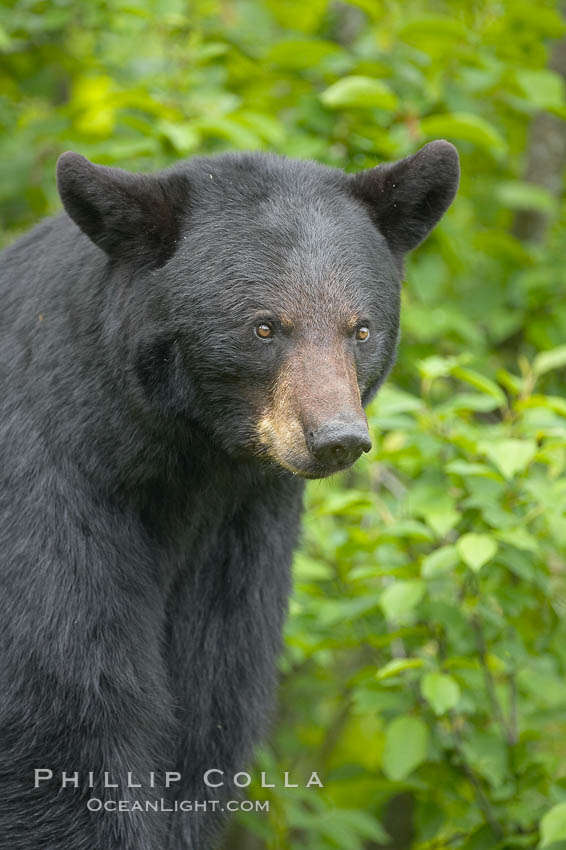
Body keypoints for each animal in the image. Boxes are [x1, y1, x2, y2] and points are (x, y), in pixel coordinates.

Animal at [0, 142, 460, 844]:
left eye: (361, 329)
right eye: (265, 328)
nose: (338, 438)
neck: (185, 466)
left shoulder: (240, 533)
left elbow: (210, 709)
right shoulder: (51, 489)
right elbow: (63, 707)